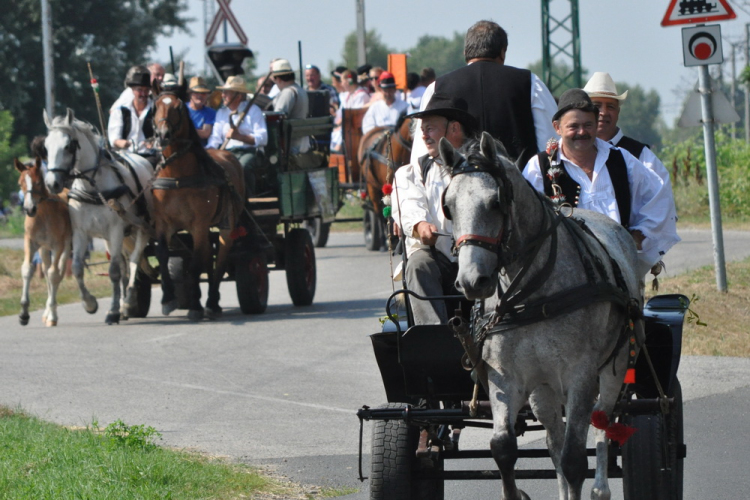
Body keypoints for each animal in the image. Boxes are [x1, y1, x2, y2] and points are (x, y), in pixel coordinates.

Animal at [14, 158, 71, 326]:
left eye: (38, 182)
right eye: (20, 184)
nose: (29, 209)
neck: (43, 215)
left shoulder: (58, 245)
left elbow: (54, 274)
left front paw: (52, 316)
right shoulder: (31, 242)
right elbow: (27, 269)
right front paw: (24, 314)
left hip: (66, 246)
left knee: (57, 273)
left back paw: (51, 313)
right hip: (44, 249)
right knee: (46, 271)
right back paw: (46, 313)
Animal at [44, 108, 156, 324]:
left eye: (68, 146)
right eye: (46, 146)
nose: (52, 183)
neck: (93, 189)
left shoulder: (116, 230)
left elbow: (113, 271)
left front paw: (113, 311)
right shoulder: (81, 232)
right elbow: (77, 268)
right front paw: (90, 304)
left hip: (141, 228)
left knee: (134, 261)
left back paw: (128, 301)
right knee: (124, 265)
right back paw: (123, 305)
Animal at [151, 92, 245, 322]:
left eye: (178, 107)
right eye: (156, 105)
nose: (163, 134)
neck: (177, 176)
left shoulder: (199, 225)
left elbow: (195, 263)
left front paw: (195, 306)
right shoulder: (163, 224)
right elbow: (163, 255)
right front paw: (168, 299)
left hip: (226, 225)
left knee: (220, 260)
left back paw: (211, 302)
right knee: (208, 258)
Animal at [440, 133, 648, 500]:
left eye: (496, 202)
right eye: (448, 207)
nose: (471, 281)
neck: (533, 295)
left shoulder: (581, 375)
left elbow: (575, 459)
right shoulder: (505, 378)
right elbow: (504, 448)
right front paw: (516, 493)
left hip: (613, 368)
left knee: (602, 425)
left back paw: (600, 488)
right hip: (543, 389)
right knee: (553, 438)